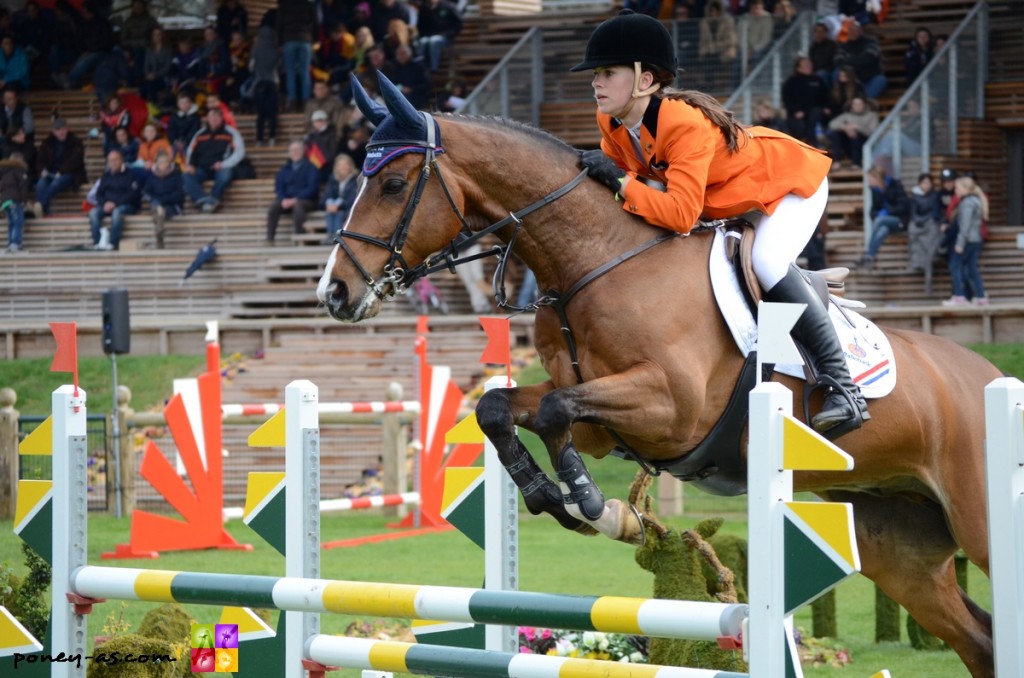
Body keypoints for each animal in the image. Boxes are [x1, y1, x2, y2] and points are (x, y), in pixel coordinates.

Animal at [317, 74, 999, 678]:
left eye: (394, 183)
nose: (334, 293)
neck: (595, 259)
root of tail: (989, 377)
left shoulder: (672, 409)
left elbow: (554, 412)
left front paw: (592, 504)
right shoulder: (599, 419)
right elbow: (505, 409)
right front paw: (554, 498)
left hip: (977, 521)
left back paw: (843, 400)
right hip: (900, 549)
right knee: (977, 639)